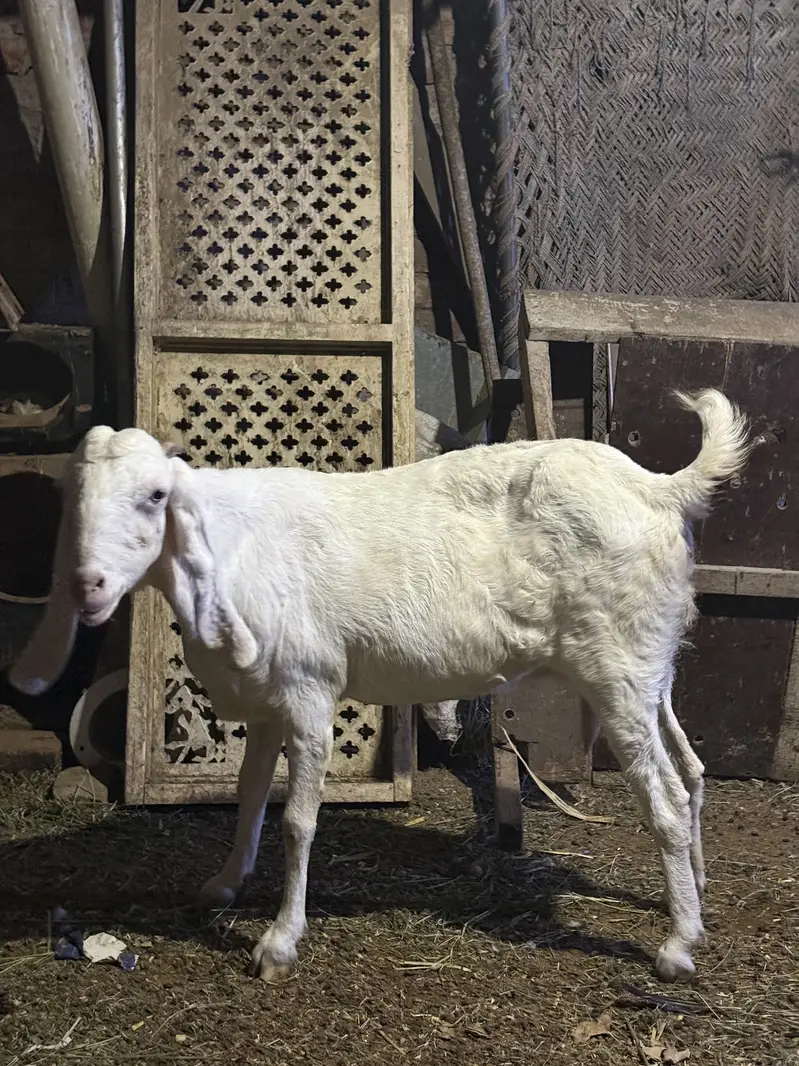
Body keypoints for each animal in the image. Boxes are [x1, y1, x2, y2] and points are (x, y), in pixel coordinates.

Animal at [10, 389, 750, 983]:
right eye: (75, 499)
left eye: (156, 497)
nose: (88, 586)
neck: (234, 548)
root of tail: (659, 490)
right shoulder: (268, 702)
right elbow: (248, 797)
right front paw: (222, 885)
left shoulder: (309, 693)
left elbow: (298, 821)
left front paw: (279, 944)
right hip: (647, 664)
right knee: (689, 770)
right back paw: (694, 895)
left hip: (614, 669)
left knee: (663, 795)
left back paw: (677, 946)